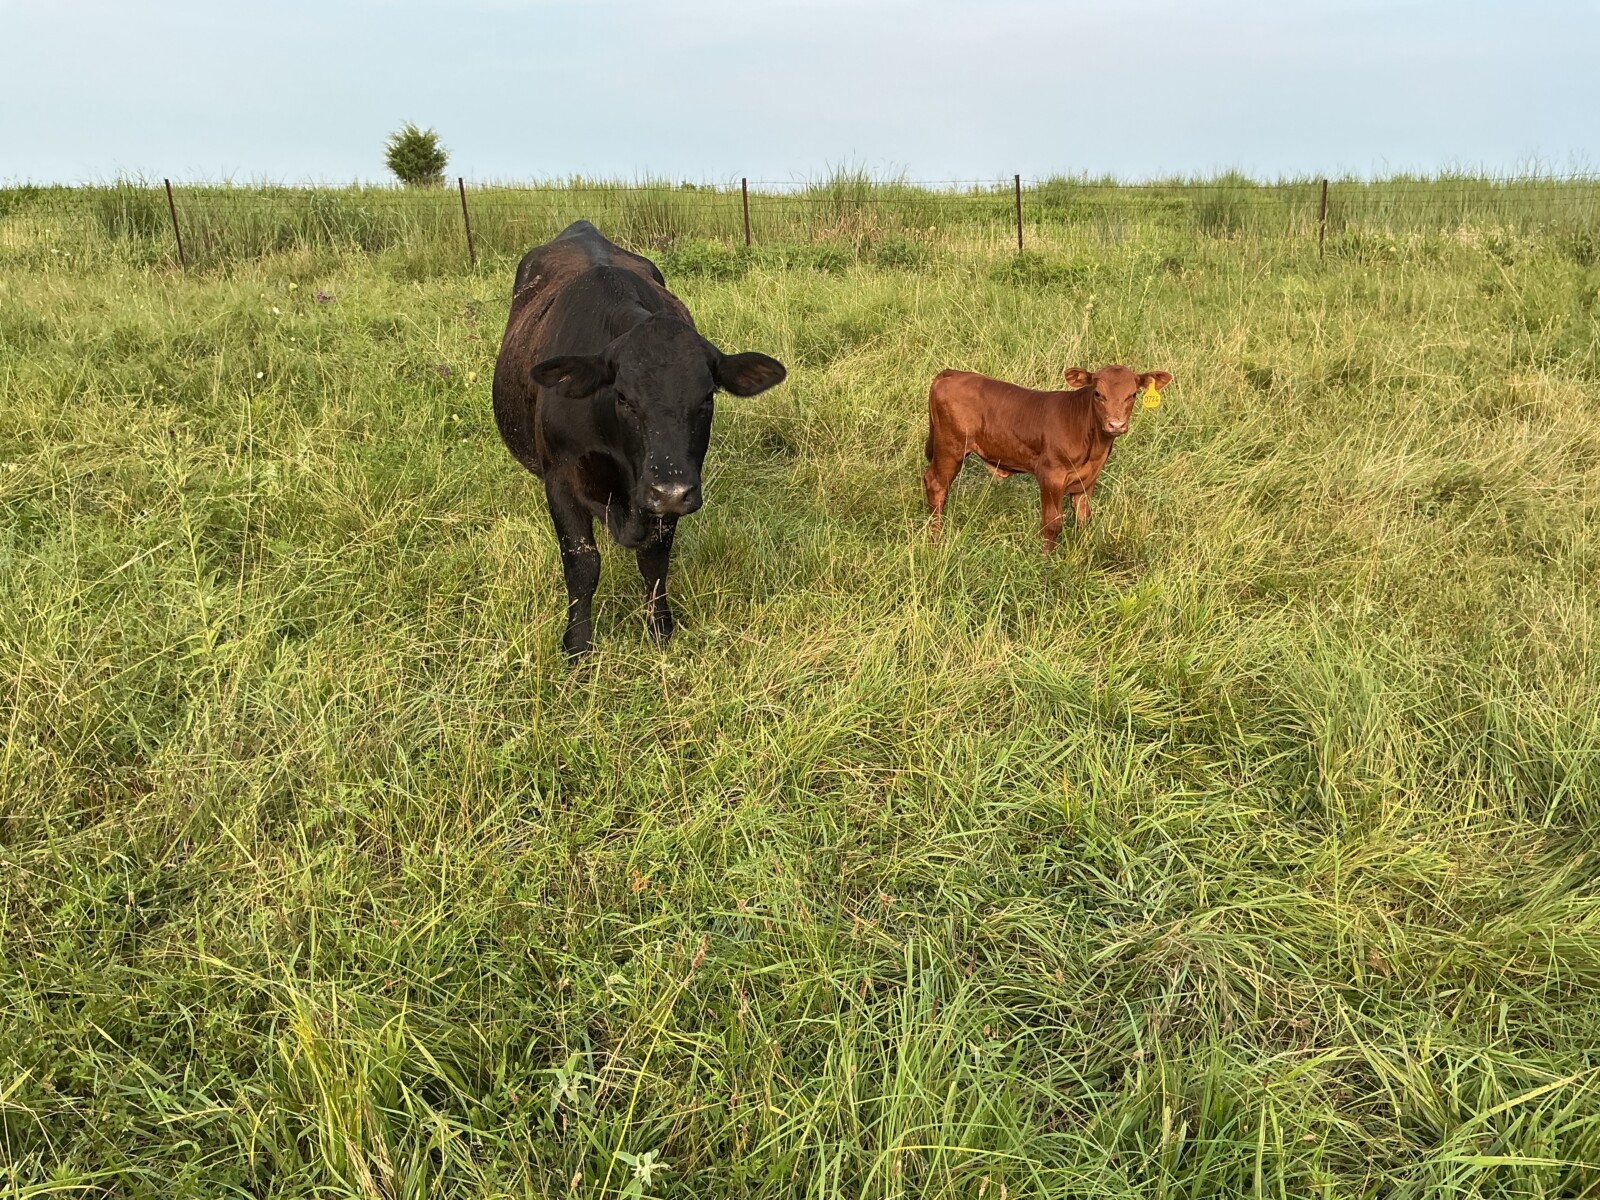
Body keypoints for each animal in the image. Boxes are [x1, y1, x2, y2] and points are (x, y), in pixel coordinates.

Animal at [492, 221, 787, 659]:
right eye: (623, 398)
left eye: (707, 397)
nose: (671, 490)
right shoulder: (561, 479)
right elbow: (582, 563)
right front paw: (577, 646)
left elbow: (655, 561)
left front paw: (659, 630)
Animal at [922, 364, 1172, 553]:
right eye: (1098, 393)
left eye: (1133, 394)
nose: (1116, 424)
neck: (1093, 446)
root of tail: (953, 373)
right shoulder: (1051, 474)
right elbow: (1052, 523)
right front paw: (1046, 560)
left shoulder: (1087, 481)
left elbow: (1084, 518)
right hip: (950, 447)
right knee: (936, 484)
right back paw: (936, 539)